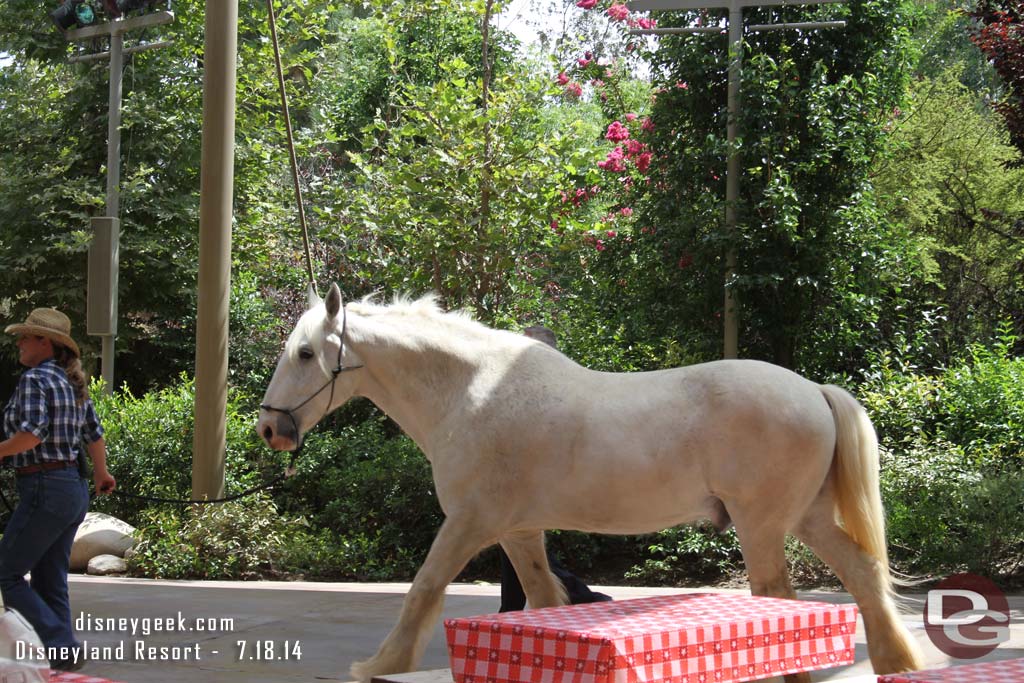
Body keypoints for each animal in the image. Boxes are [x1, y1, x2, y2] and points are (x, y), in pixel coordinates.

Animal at [260, 284, 925, 683]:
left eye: (304, 354)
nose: (271, 428)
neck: (473, 391)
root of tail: (812, 390)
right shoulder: (519, 532)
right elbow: (546, 604)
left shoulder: (470, 523)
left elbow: (423, 589)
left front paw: (382, 662)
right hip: (805, 518)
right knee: (863, 573)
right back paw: (896, 661)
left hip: (762, 526)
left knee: (781, 599)